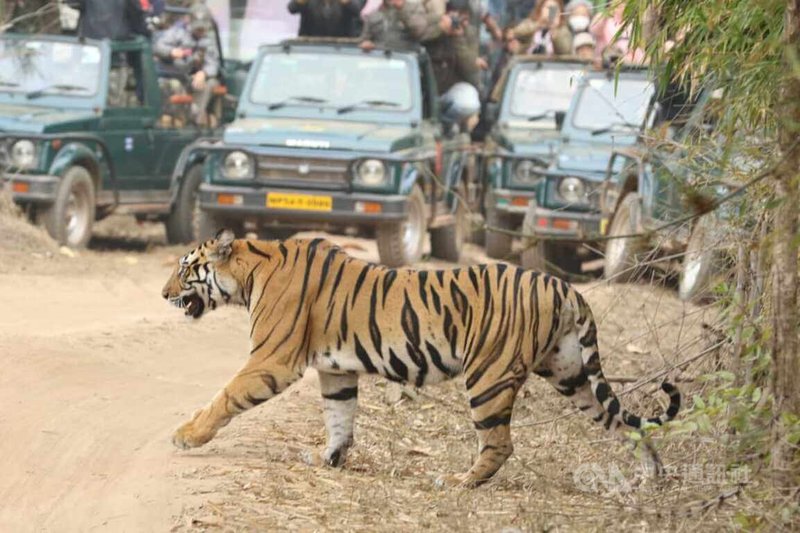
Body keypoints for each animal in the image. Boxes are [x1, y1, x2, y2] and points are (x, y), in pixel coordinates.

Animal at [162, 230, 681, 487]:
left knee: (500, 443)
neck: (250, 270)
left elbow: (224, 397)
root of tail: (564, 286)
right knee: (625, 423)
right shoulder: (334, 369)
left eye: (186, 268)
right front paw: (329, 459)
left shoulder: (272, 360)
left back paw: (458, 481)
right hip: (571, 372)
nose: (164, 294)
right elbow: (339, 418)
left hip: (488, 376)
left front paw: (187, 436)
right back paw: (652, 476)